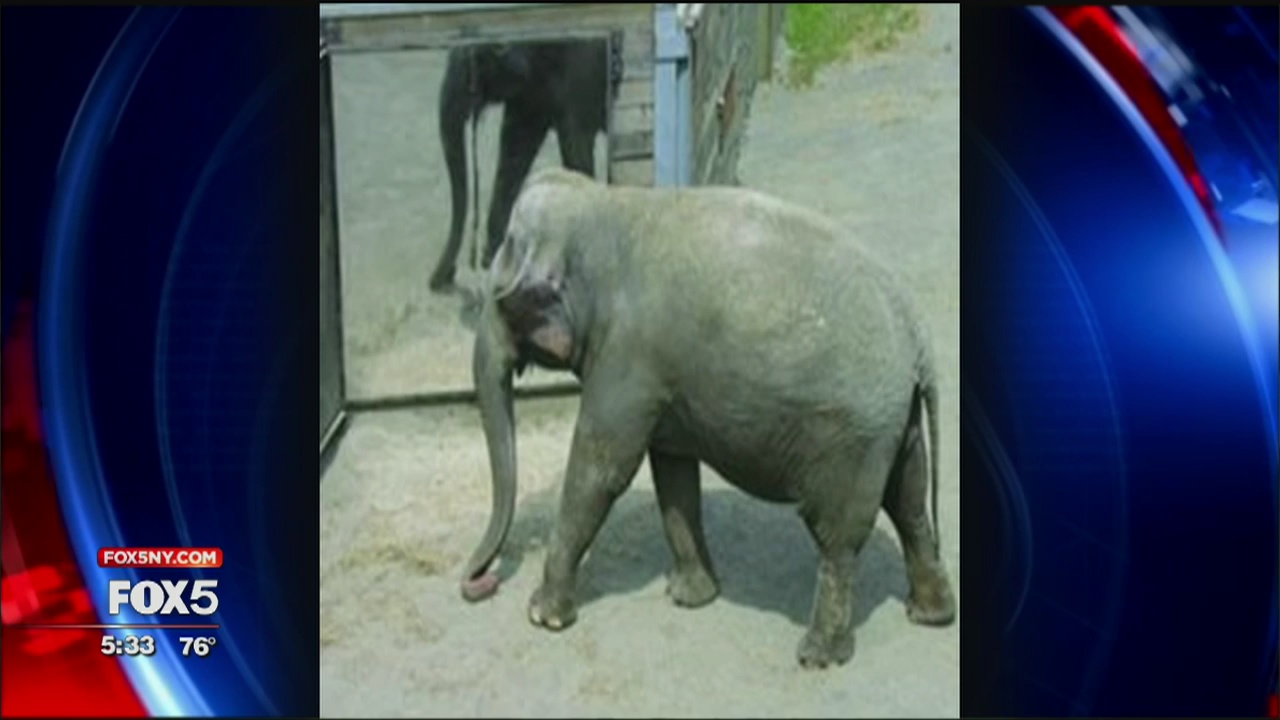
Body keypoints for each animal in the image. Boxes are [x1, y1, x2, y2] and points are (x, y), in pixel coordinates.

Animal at [428, 39, 611, 293]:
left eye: (474, 61)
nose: (444, 279)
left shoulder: (583, 67)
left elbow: (575, 144)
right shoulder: (531, 89)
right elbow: (516, 142)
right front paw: (494, 256)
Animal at [459, 168, 956, 669]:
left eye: (502, 300)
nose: (479, 582)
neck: (606, 204)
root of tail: (918, 336)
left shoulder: (627, 359)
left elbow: (601, 470)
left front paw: (543, 616)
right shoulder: (660, 376)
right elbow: (673, 472)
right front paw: (691, 597)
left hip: (852, 435)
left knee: (838, 535)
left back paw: (817, 655)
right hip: (896, 425)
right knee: (910, 504)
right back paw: (931, 614)